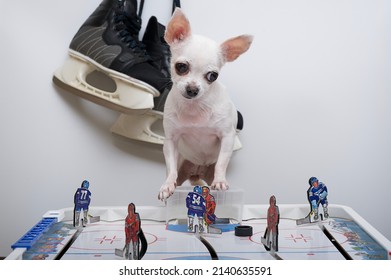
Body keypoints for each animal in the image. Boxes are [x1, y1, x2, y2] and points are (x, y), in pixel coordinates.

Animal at [159, 8, 254, 200]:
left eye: (212, 76)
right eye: (181, 67)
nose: (192, 89)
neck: (195, 107)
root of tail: (197, 171)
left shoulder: (227, 137)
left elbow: (222, 163)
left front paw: (220, 181)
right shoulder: (171, 141)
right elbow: (170, 167)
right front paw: (167, 185)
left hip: (208, 171)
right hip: (183, 167)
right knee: (176, 172)